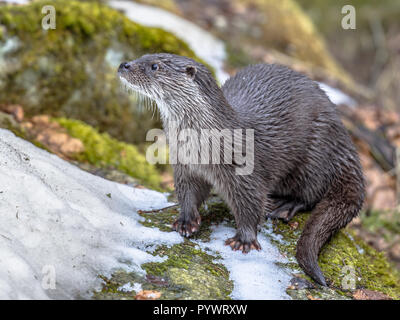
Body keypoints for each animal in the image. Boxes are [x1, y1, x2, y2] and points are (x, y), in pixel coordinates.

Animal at [116, 53, 366, 286]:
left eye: (154, 66)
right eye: (143, 56)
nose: (124, 65)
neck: (206, 144)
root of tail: (345, 141)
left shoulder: (246, 172)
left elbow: (251, 204)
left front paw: (244, 239)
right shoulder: (185, 167)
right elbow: (187, 193)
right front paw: (187, 221)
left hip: (316, 154)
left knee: (312, 193)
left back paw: (285, 205)